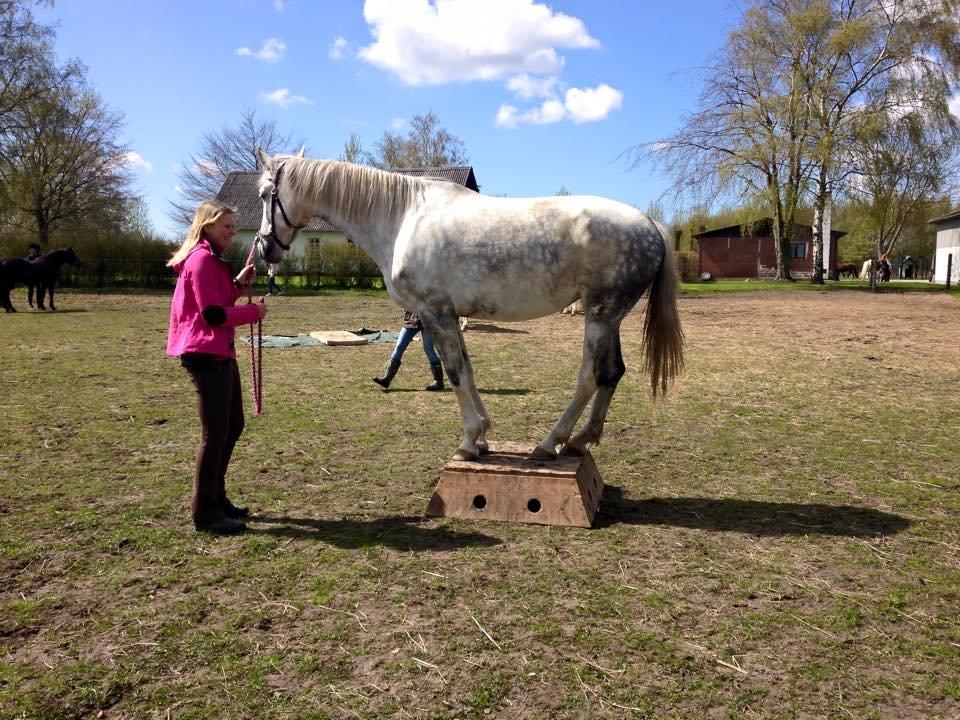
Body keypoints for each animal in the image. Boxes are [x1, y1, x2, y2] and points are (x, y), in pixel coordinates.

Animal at [255, 150, 684, 462]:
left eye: (264, 195)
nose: (263, 249)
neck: (403, 217)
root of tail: (650, 224)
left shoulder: (435, 314)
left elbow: (456, 373)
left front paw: (469, 440)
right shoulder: (448, 315)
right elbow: (469, 370)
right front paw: (483, 435)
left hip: (599, 315)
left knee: (590, 378)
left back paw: (550, 442)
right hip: (609, 317)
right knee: (612, 374)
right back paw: (580, 440)